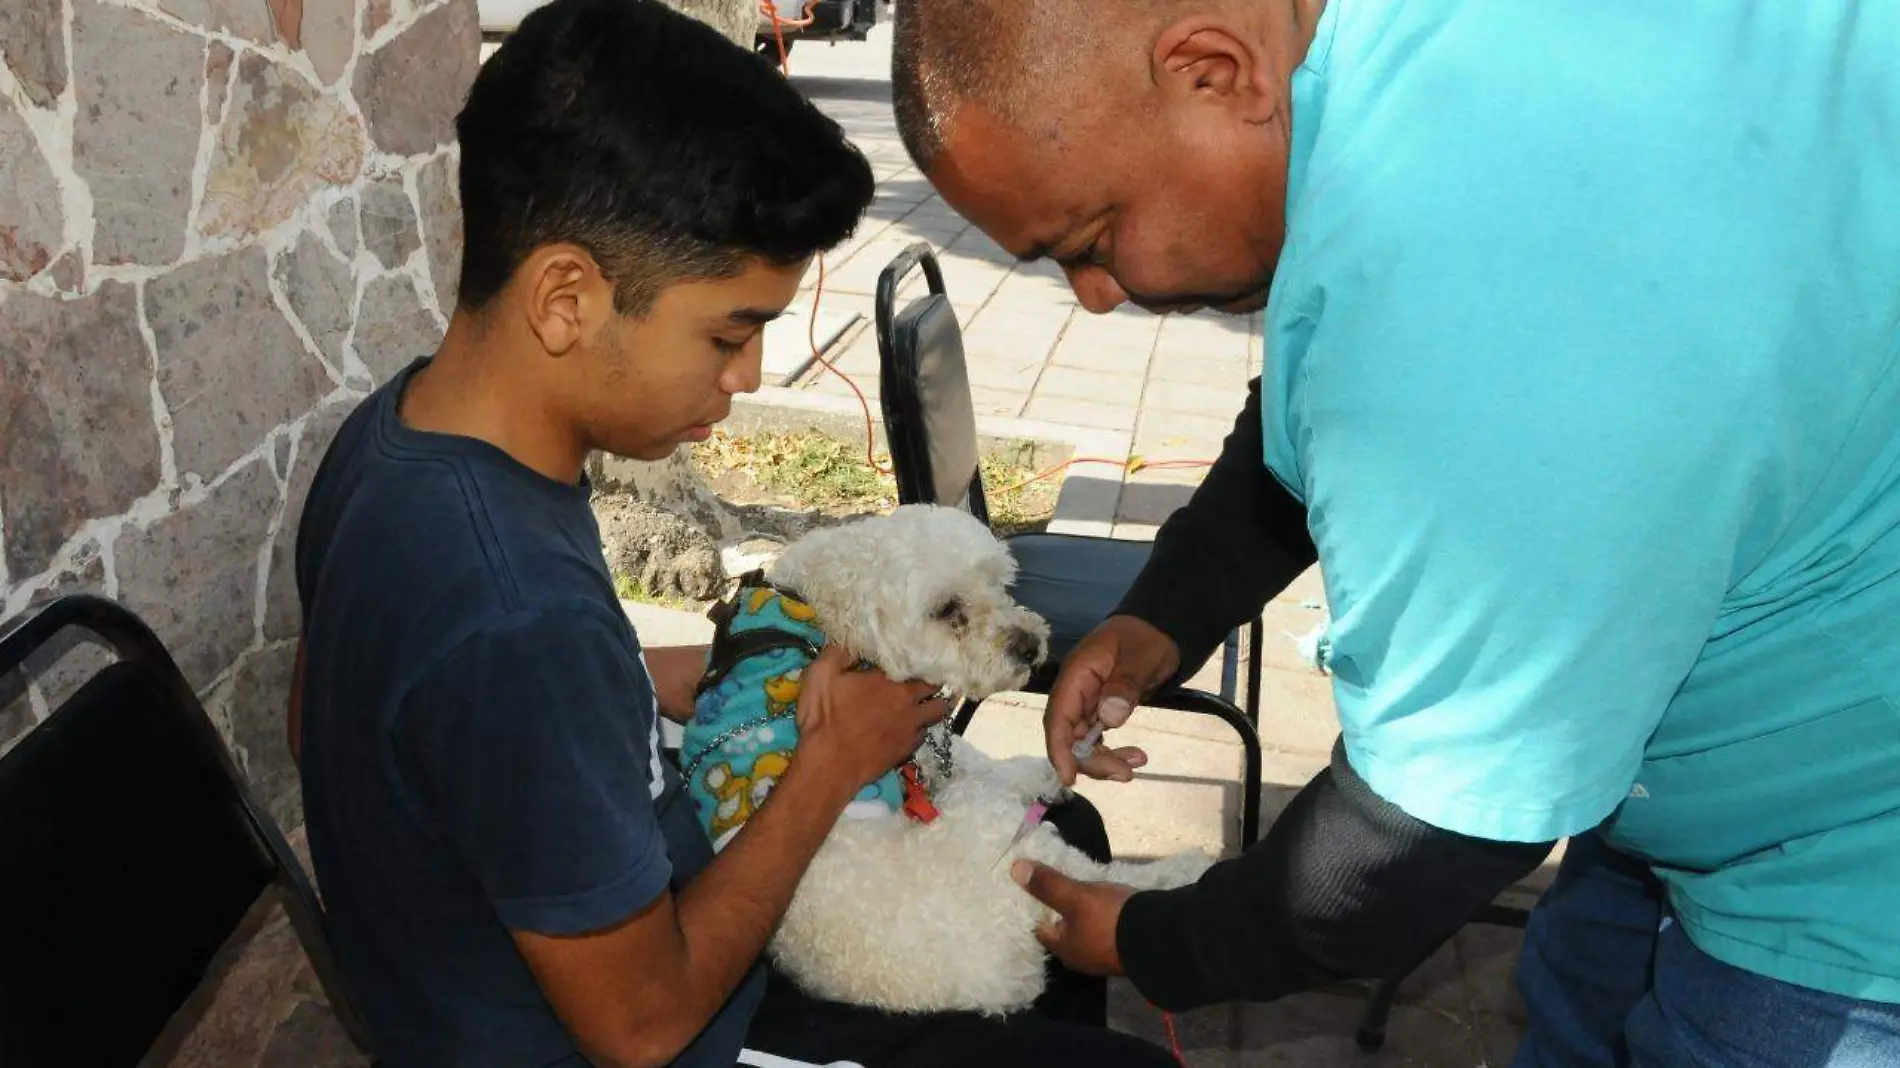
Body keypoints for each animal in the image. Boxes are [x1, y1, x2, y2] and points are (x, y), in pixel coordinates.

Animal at [684, 501, 1208, 1010]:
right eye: (947, 609)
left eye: (998, 584)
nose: (1031, 646)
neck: (805, 608)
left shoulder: (925, 742)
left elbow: (967, 753)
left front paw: (1044, 771)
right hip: (988, 827)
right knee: (1090, 874)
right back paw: (1177, 873)